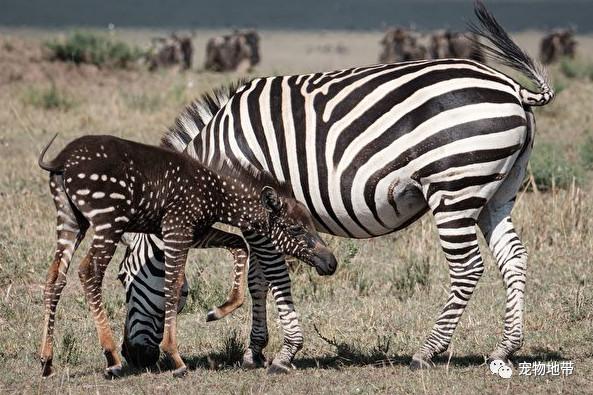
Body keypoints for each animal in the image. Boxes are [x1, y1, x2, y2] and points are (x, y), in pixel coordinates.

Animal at [37, 135, 336, 378]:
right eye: (296, 229)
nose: (331, 262)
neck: (215, 191)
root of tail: (63, 159)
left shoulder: (197, 231)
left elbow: (239, 246)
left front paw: (221, 309)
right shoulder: (177, 229)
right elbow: (172, 285)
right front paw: (176, 358)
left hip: (70, 221)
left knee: (55, 278)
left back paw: (47, 361)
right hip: (108, 222)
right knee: (89, 272)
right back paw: (111, 357)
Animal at [119, 2, 552, 374]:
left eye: (125, 279)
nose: (133, 356)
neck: (220, 157)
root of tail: (512, 87)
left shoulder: (261, 209)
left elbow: (275, 274)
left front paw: (286, 352)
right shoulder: (260, 220)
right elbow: (259, 278)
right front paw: (255, 349)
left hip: (454, 188)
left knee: (467, 268)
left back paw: (427, 351)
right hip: (496, 192)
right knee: (513, 257)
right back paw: (504, 348)